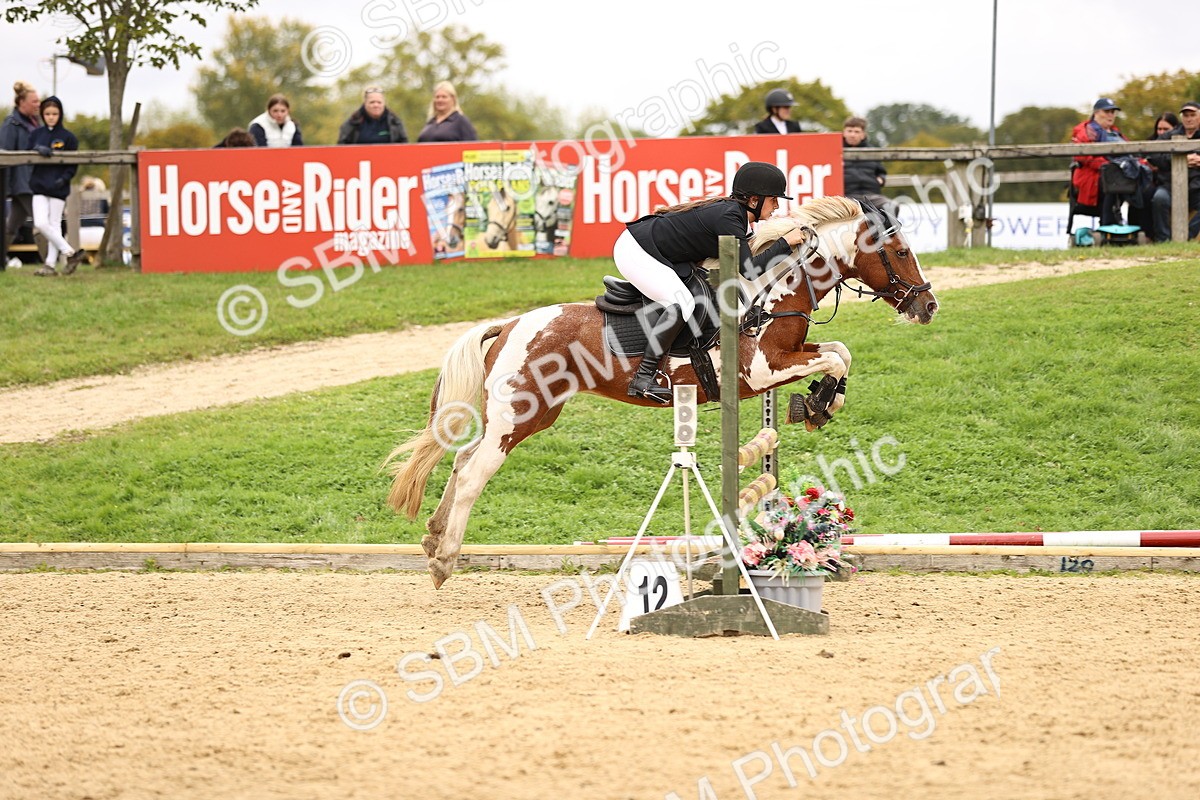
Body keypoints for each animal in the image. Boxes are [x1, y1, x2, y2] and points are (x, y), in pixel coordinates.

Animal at [384, 196, 939, 588]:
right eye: (900, 252)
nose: (928, 306)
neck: (773, 290)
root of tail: (509, 325)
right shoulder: (761, 372)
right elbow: (835, 356)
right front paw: (819, 402)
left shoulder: (784, 360)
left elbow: (840, 352)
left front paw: (820, 403)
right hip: (519, 414)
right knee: (473, 474)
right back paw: (444, 561)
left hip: (533, 415)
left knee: (461, 462)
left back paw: (433, 541)